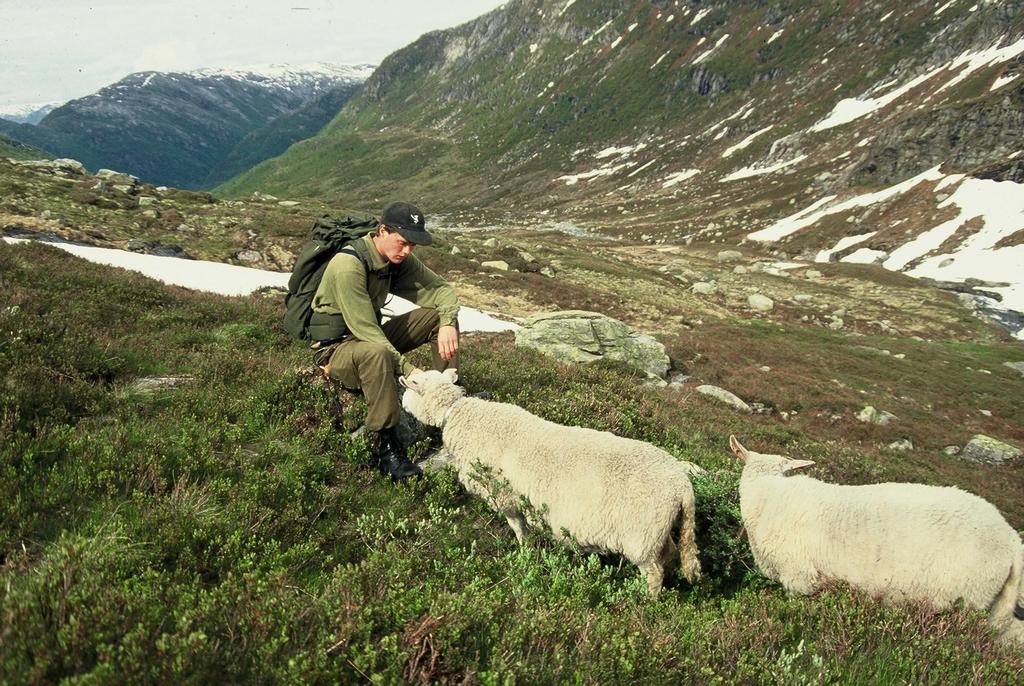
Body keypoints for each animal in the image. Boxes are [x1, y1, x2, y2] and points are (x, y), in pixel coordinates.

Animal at [399, 370, 704, 597]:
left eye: (414, 384)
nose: (401, 396)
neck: (463, 415)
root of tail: (682, 484)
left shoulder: (505, 494)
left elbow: (517, 525)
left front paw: (524, 550)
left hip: (641, 536)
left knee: (654, 573)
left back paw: (644, 600)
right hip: (656, 533)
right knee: (669, 554)